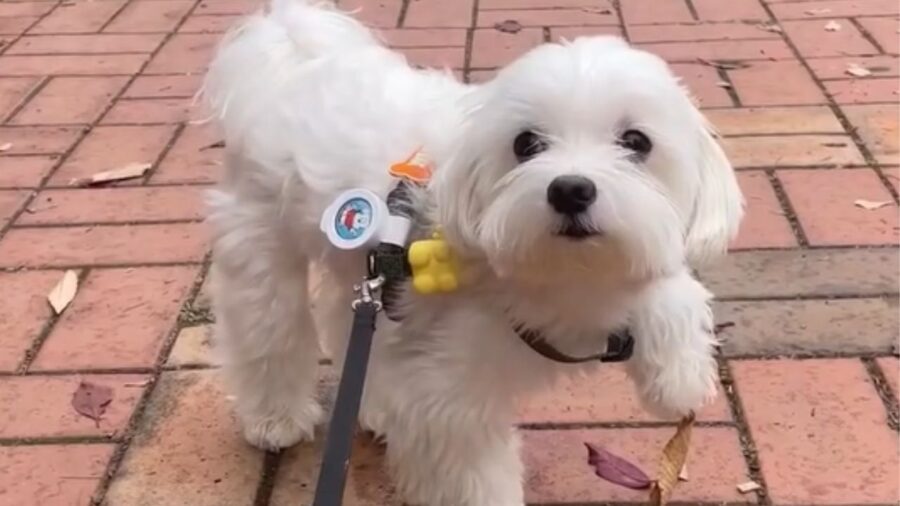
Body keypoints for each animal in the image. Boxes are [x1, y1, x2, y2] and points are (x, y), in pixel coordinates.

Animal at [204, 1, 744, 504]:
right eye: (525, 143)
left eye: (636, 141)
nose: (570, 189)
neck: (566, 279)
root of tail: (296, 56)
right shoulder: (449, 398)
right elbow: (467, 471)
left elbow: (675, 290)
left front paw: (678, 378)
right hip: (259, 240)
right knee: (267, 328)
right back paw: (275, 418)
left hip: (360, 266)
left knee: (346, 317)